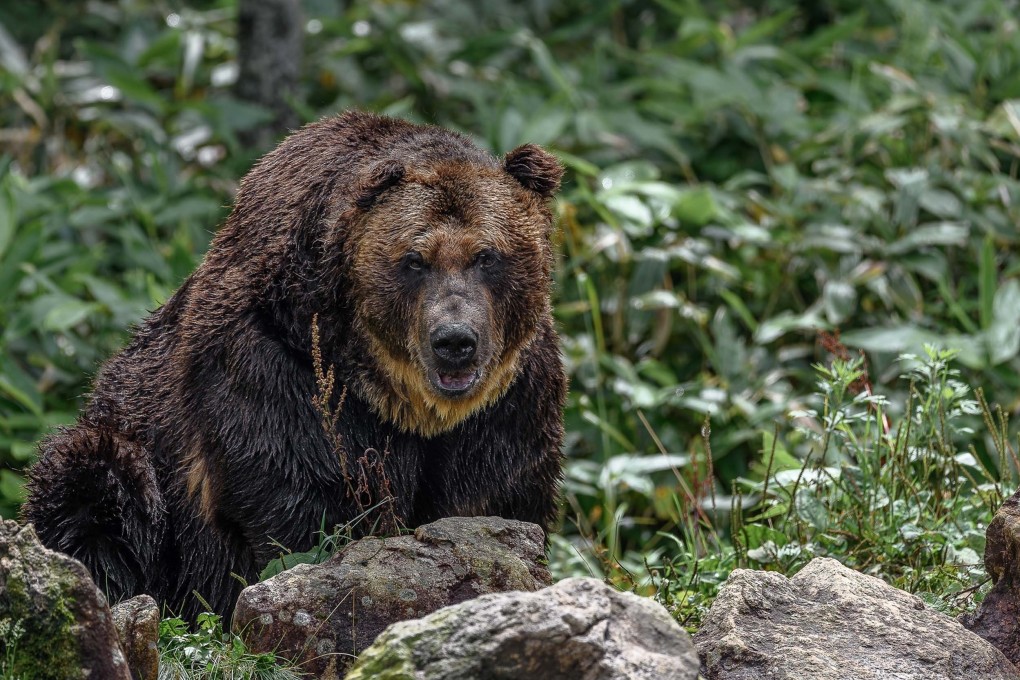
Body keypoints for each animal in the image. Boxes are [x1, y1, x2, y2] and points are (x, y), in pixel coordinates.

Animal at [21, 110, 566, 620]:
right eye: (414, 260)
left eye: (486, 256)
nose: (455, 341)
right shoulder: (275, 363)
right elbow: (299, 498)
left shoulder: (510, 396)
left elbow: (491, 495)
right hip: (135, 446)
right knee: (96, 481)